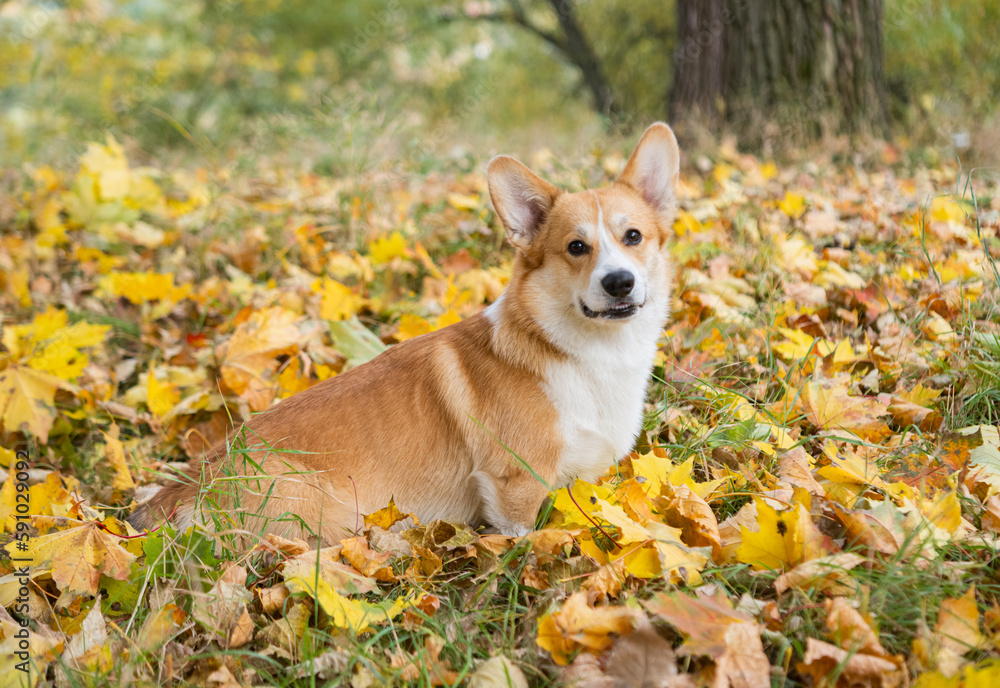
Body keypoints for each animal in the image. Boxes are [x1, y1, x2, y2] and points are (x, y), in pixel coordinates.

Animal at [127, 122, 680, 544]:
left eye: (633, 237)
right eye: (575, 247)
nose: (619, 281)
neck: (579, 349)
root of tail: (187, 486)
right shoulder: (515, 484)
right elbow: (523, 536)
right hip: (329, 521)